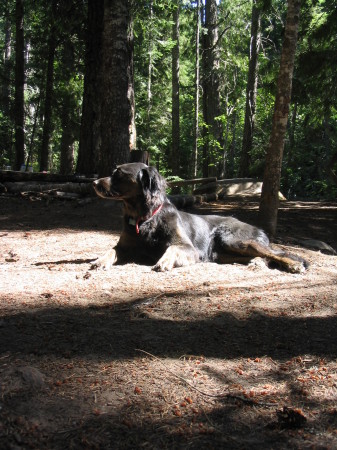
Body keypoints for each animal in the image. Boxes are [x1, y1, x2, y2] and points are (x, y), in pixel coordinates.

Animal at [90, 163, 306, 272]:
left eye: (119, 173)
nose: (94, 183)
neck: (145, 217)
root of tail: (258, 229)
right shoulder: (124, 246)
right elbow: (111, 250)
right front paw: (100, 261)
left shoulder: (188, 247)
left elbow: (172, 248)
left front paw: (164, 261)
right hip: (221, 253)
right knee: (260, 255)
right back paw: (256, 263)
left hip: (233, 240)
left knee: (276, 253)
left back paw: (294, 264)